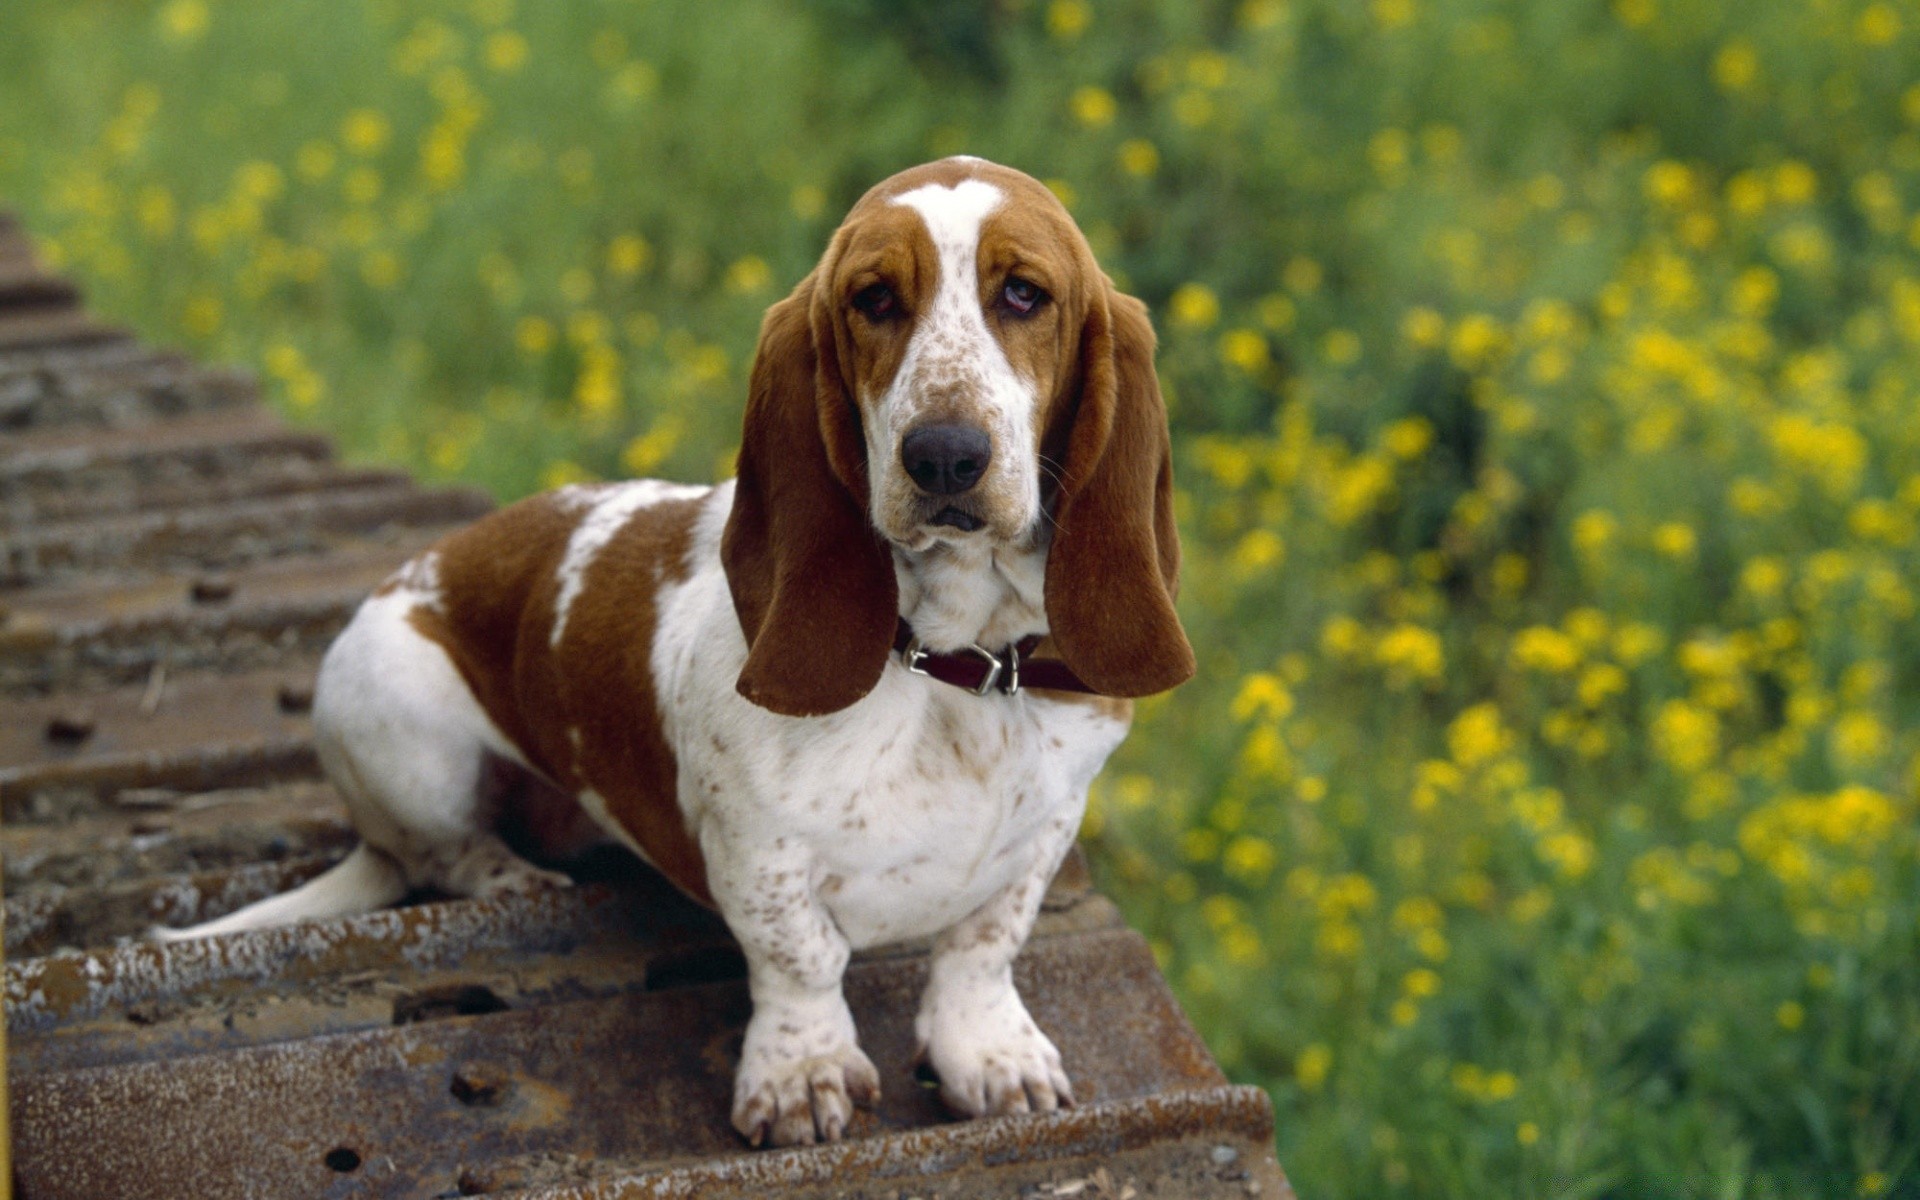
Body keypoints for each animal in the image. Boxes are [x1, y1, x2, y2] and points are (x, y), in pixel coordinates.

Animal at [165, 154, 1190, 1144]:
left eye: (1023, 294)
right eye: (873, 299)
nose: (943, 456)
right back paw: (516, 873)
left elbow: (984, 945)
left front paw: (989, 1053)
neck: (950, 669)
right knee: (442, 855)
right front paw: (803, 1073)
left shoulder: (1047, 826)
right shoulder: (755, 849)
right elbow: (802, 957)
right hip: (401, 725)